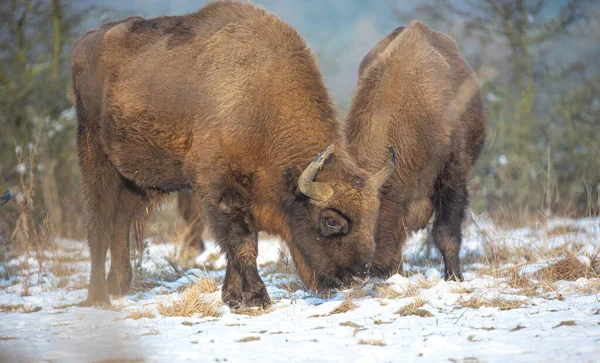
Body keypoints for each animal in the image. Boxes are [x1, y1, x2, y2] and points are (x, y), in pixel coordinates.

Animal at [72, 2, 394, 310]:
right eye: (329, 221)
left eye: (371, 217)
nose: (359, 278)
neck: (262, 101)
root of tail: (84, 43)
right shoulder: (220, 189)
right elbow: (243, 242)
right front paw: (256, 297)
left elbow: (233, 245)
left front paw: (233, 297)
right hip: (94, 157)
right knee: (98, 223)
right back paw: (98, 297)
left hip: (135, 179)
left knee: (121, 222)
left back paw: (119, 285)